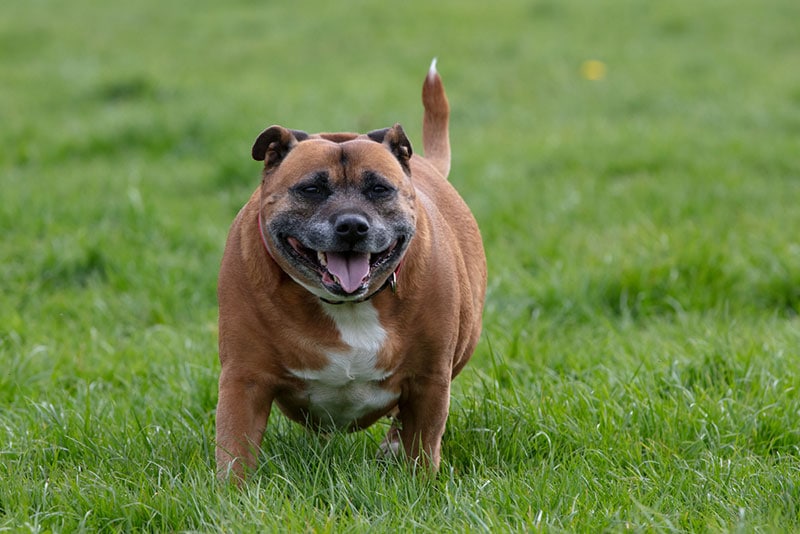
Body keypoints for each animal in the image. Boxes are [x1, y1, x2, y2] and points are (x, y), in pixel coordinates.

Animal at [216, 59, 484, 482]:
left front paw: (419, 484)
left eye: (379, 189)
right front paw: (231, 494)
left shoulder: (429, 381)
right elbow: (234, 450)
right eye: (311, 189)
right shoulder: (244, 378)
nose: (353, 225)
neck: (347, 305)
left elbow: (423, 445)